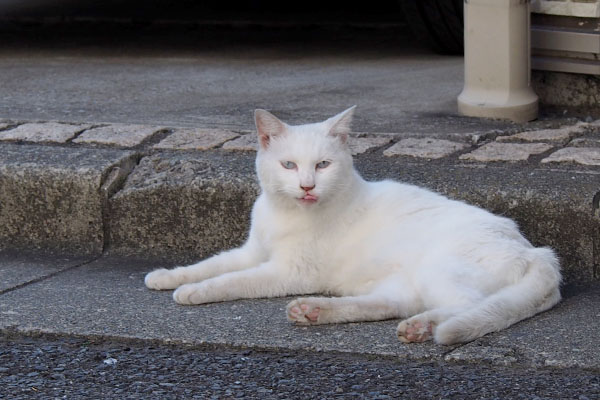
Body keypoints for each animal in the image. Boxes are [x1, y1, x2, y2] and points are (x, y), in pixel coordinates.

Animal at [146, 108, 564, 346]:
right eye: (288, 165)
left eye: (323, 165)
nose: (307, 186)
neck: (284, 213)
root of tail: (537, 252)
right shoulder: (251, 252)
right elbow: (211, 264)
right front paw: (168, 276)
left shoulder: (289, 271)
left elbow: (231, 281)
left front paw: (193, 292)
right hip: (403, 283)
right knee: (389, 304)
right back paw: (315, 311)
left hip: (440, 269)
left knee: (465, 306)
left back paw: (423, 328)